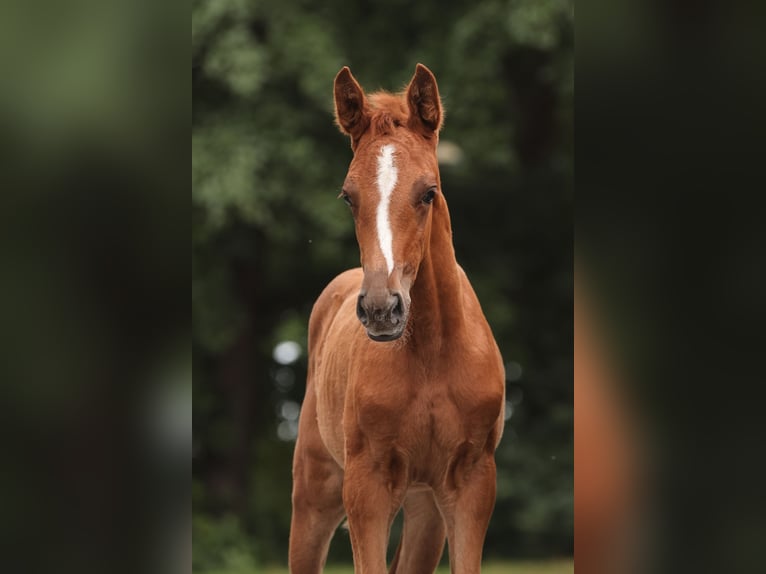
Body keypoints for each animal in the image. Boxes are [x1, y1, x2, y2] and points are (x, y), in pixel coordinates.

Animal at [292, 64, 508, 574]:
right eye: (347, 197)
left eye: (428, 192)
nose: (380, 309)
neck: (430, 351)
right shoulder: (366, 489)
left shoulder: (472, 485)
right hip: (314, 494)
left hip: (425, 510)